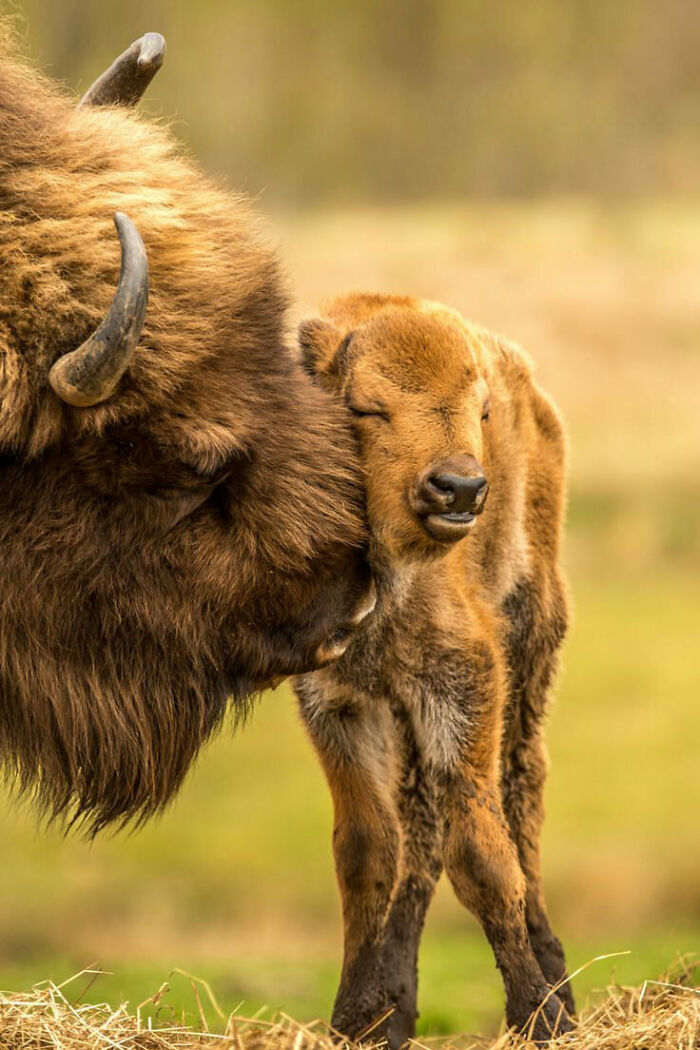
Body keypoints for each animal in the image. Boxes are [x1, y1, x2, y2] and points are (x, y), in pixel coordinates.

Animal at [294, 294, 574, 1045]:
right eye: (366, 407)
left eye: (480, 410)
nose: (460, 488)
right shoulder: (338, 703)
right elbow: (366, 852)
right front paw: (356, 1017)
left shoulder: (467, 684)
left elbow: (482, 853)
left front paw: (535, 1015)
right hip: (409, 723)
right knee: (419, 834)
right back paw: (398, 1006)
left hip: (532, 649)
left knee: (521, 797)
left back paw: (561, 990)